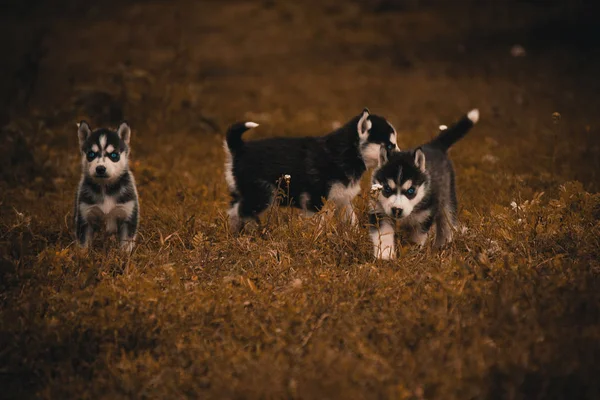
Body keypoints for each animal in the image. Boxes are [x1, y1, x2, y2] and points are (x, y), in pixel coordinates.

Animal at [74, 120, 139, 252]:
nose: (100, 169)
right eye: (91, 154)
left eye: (114, 155)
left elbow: (126, 244)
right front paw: (81, 256)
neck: (105, 188)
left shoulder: (128, 214)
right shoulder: (85, 216)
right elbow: (83, 244)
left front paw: (125, 255)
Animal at [223, 108, 400, 233]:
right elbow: (319, 224)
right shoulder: (315, 200)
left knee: (233, 211)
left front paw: (356, 237)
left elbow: (352, 220)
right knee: (243, 212)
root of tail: (239, 148)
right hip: (263, 194)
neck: (345, 153)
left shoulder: (342, 199)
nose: (402, 158)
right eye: (390, 146)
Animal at [366, 109, 478, 260]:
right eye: (387, 189)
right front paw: (385, 255)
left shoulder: (423, 217)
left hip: (447, 198)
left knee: (447, 222)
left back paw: (442, 246)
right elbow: (383, 235)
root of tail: (434, 146)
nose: (397, 210)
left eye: (411, 191)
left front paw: (411, 254)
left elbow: (416, 239)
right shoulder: (380, 212)